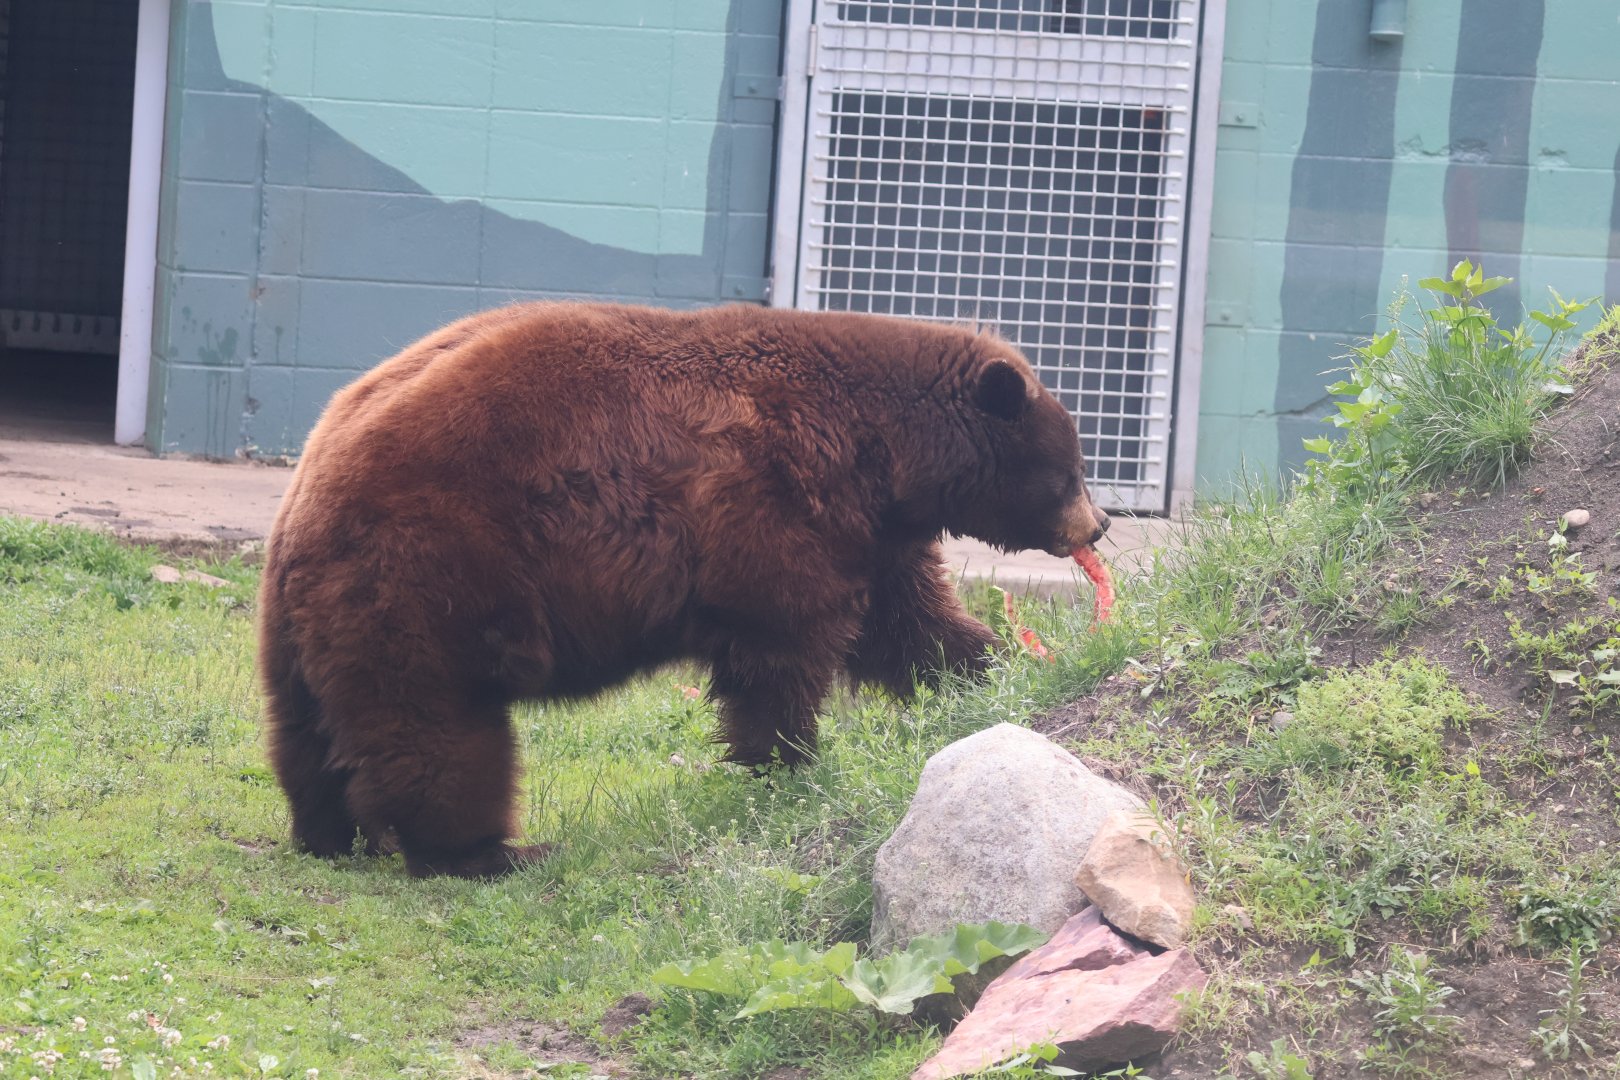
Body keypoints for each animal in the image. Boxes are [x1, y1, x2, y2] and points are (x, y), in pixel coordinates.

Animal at [257, 302, 1109, 878]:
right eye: (1070, 468)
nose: (1098, 525)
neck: (881, 450)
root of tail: (313, 483)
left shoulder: (872, 534)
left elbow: (910, 626)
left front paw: (994, 667)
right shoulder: (776, 504)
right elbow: (785, 648)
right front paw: (789, 761)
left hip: (309, 618)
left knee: (307, 731)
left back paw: (331, 832)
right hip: (434, 576)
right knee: (434, 727)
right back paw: (488, 850)